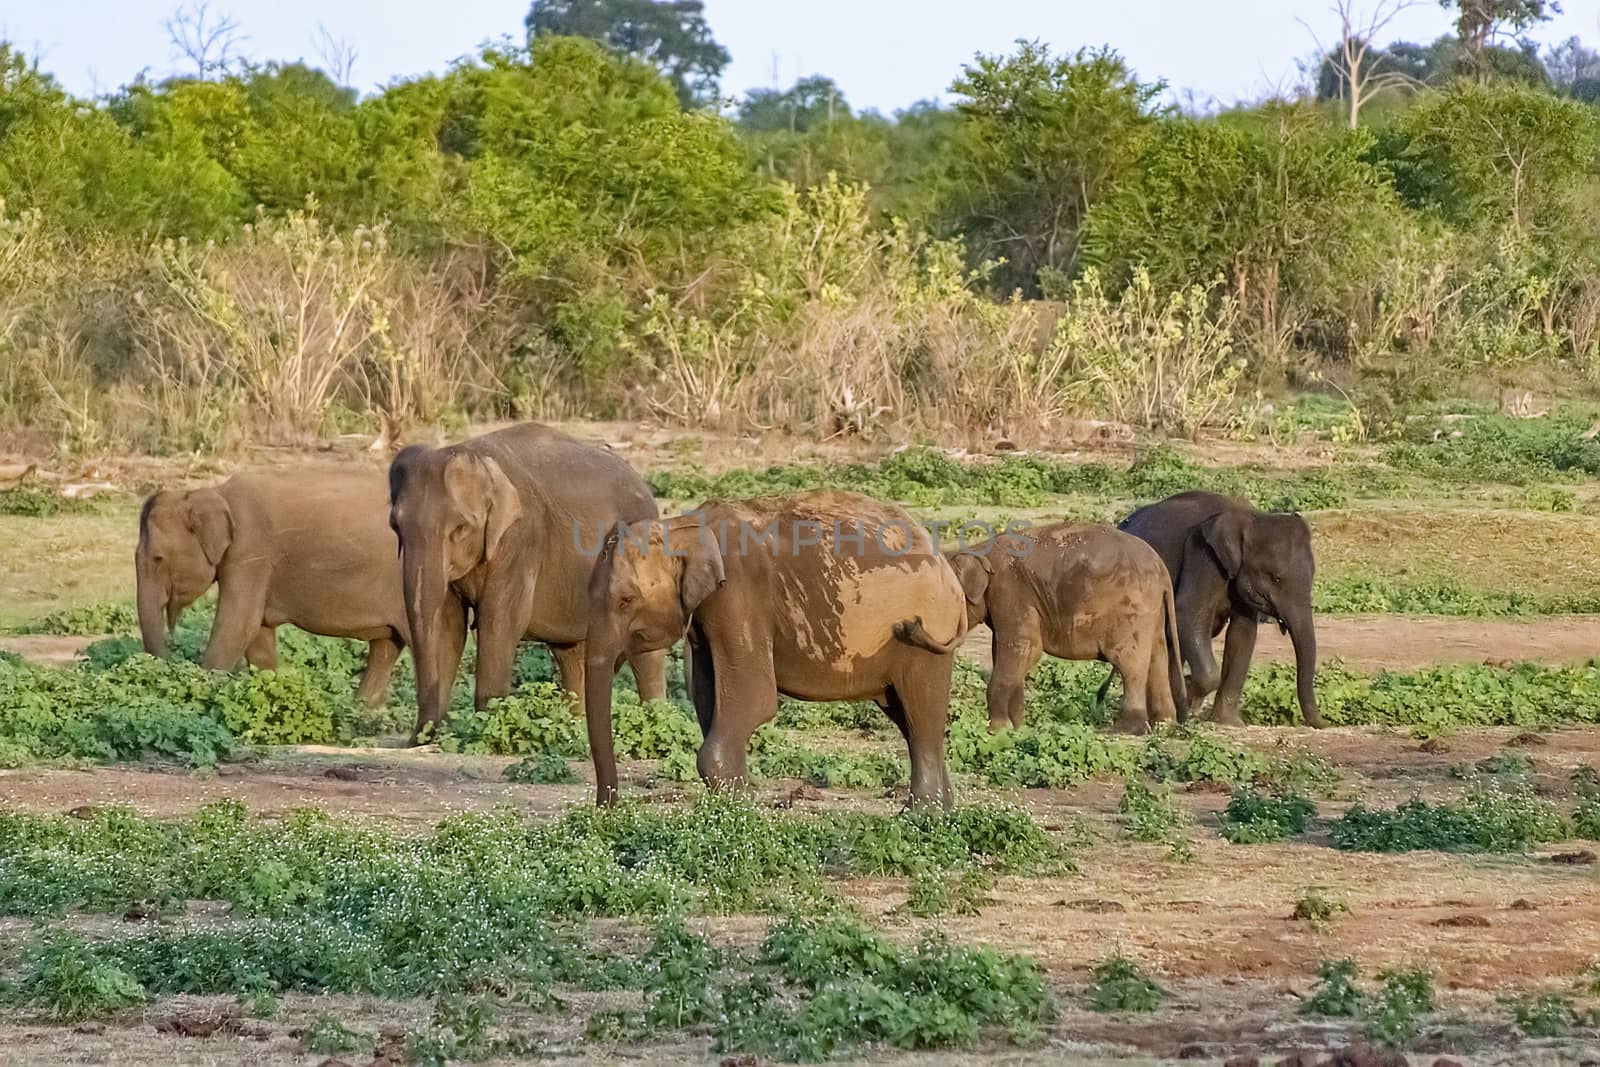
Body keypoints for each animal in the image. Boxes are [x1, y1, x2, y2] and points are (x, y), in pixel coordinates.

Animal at [135, 470, 409, 703]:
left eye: (158, 559)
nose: (167, 663)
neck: (214, 493)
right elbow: (258, 635)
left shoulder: (250, 552)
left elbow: (237, 625)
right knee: (385, 649)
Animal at [390, 422, 672, 739]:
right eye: (395, 525)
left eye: (460, 528)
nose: (423, 733)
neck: (479, 457)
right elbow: (449, 625)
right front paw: (425, 739)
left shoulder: (521, 538)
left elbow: (499, 621)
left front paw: (486, 728)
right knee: (572, 655)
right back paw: (576, 731)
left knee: (645, 655)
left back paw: (656, 721)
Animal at [585, 492, 966, 809]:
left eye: (625, 600)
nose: (607, 809)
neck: (681, 527)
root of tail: (947, 569)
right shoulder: (709, 613)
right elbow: (708, 699)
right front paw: (738, 802)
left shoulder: (739, 595)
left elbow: (754, 699)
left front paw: (739, 809)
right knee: (907, 717)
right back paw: (942, 812)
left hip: (925, 634)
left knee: (920, 714)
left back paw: (920, 815)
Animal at [908, 524, 1184, 735]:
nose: (911, 624)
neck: (977, 550)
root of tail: (1162, 570)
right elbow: (1008, 652)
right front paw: (1017, 727)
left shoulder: (1010, 590)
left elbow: (1024, 649)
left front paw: (998, 729)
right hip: (1151, 611)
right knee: (1157, 657)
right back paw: (1163, 725)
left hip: (1131, 611)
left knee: (1129, 662)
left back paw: (1124, 729)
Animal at [1120, 489, 1318, 726]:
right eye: (1276, 578)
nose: (1322, 723)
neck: (1250, 517)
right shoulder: (1202, 556)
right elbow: (1187, 614)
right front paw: (1190, 698)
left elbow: (1243, 634)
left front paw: (1229, 722)